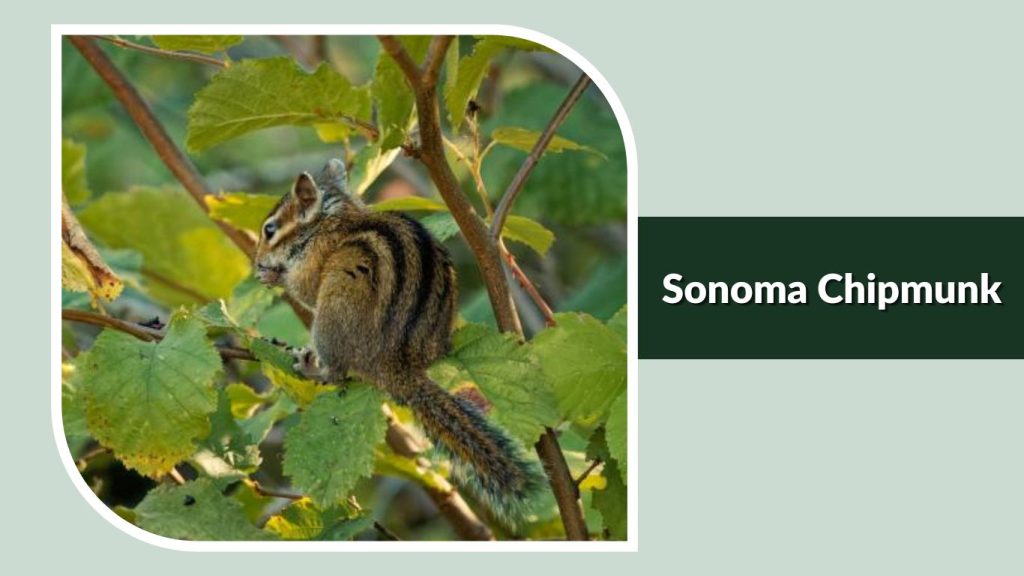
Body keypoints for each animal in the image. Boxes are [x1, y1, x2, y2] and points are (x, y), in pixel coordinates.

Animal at [254, 159, 543, 521]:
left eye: (270, 229)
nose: (256, 261)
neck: (331, 218)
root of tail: (396, 365)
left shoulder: (313, 262)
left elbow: (303, 289)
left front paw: (273, 276)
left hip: (332, 314)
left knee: (337, 372)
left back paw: (313, 367)